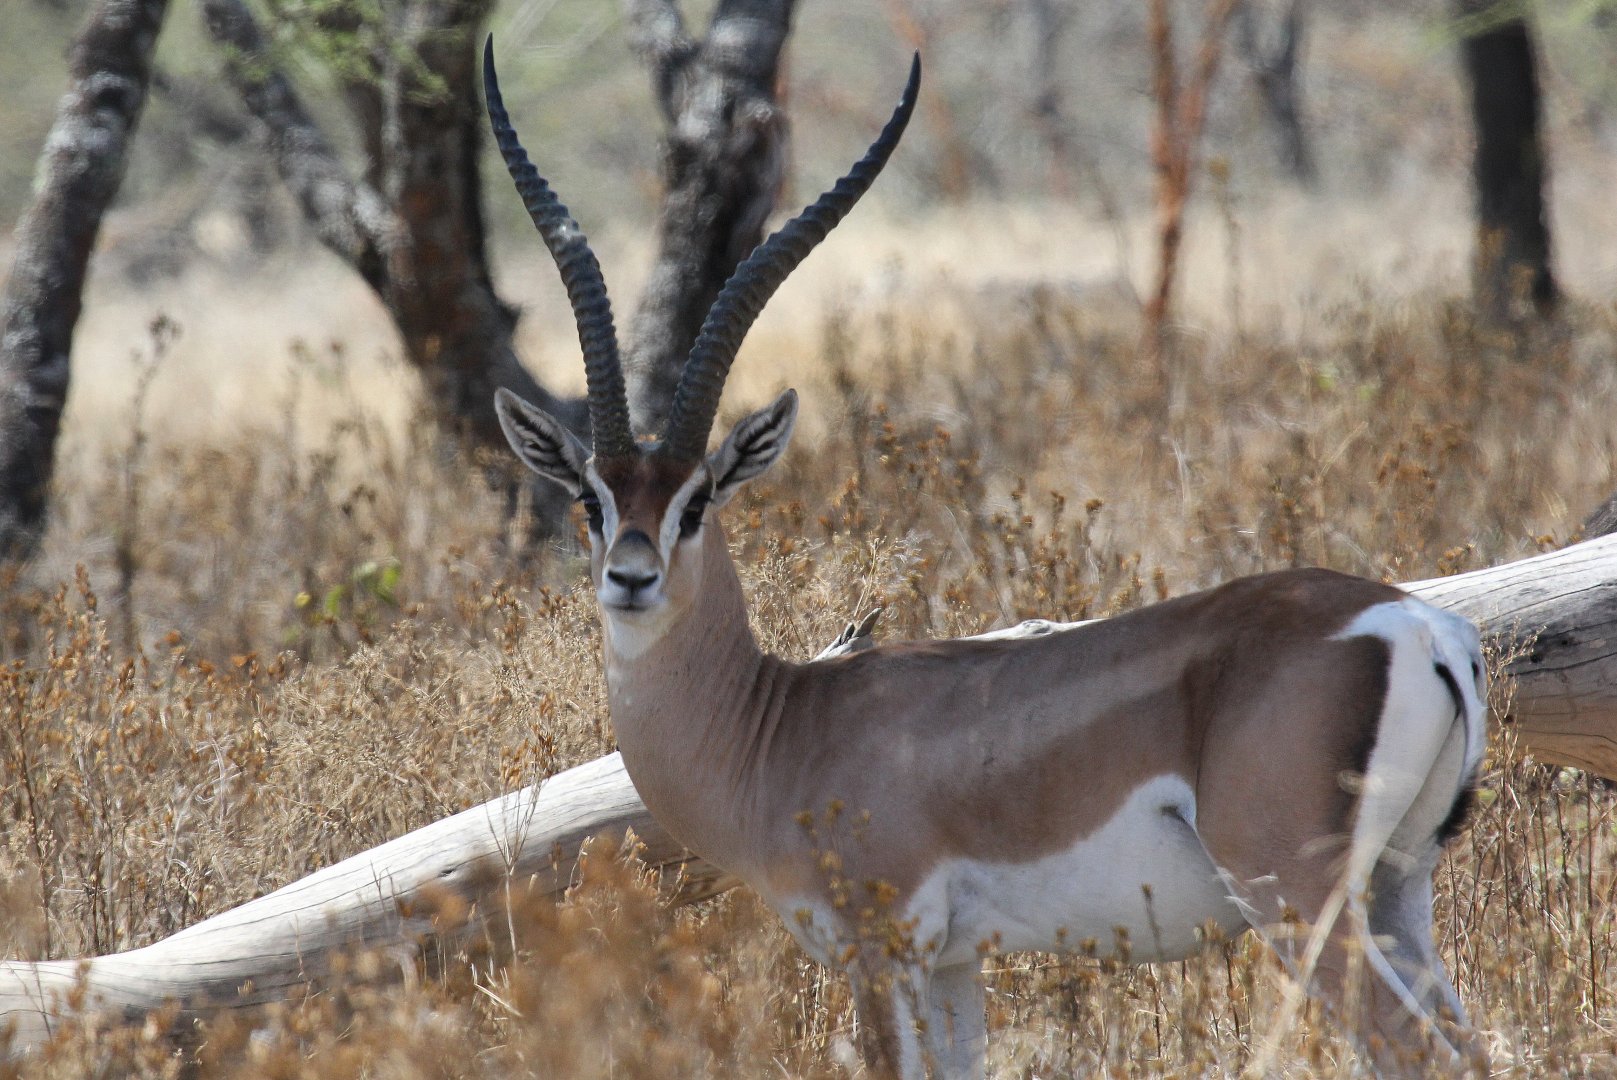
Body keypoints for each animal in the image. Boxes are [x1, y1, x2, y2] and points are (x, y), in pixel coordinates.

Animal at [483, 42, 1487, 1078]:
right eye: (591, 499)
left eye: (697, 500)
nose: (630, 578)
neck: (780, 727)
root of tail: (1418, 627)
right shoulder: (955, 967)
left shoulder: (880, 950)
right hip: (1398, 893)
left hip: (1298, 903)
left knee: (1416, 1048)